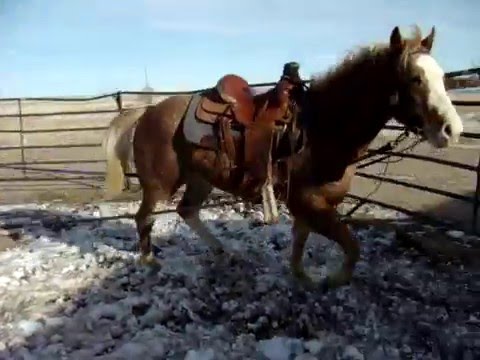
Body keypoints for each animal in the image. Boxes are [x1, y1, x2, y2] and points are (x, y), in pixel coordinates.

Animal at [103, 25, 464, 292]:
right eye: (415, 78)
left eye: (442, 76)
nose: (453, 130)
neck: (322, 126)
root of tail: (146, 111)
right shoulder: (310, 202)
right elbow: (351, 247)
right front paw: (331, 280)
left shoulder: (309, 205)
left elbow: (300, 242)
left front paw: (302, 276)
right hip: (159, 183)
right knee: (144, 217)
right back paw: (150, 261)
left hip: (200, 178)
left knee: (186, 211)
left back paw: (222, 250)